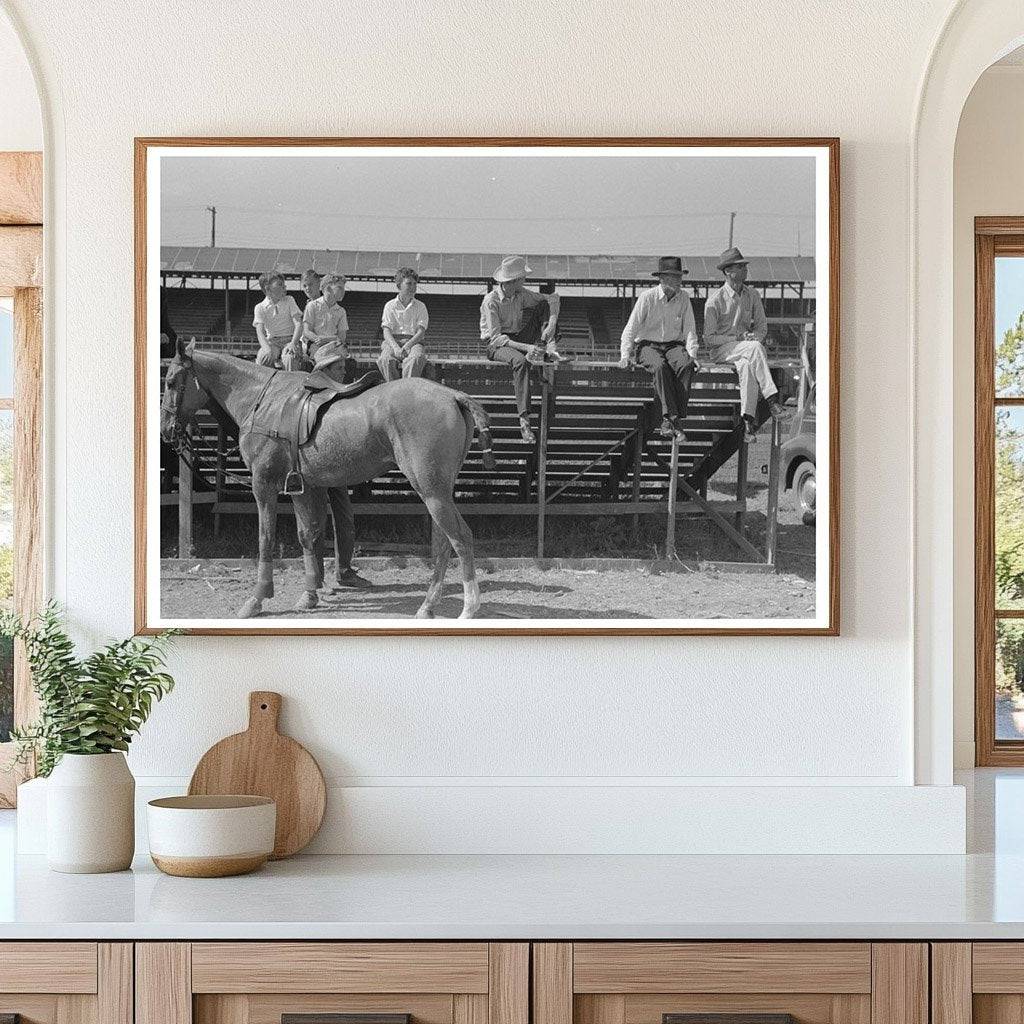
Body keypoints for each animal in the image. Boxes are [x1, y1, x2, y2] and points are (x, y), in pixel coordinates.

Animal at [159, 339, 495, 618]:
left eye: (171, 381)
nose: (165, 429)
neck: (264, 400)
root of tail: (453, 395)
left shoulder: (263, 484)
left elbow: (265, 539)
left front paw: (257, 599)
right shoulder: (301, 486)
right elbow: (308, 535)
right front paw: (309, 594)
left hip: (431, 490)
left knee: (460, 538)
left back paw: (468, 607)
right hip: (439, 491)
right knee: (445, 543)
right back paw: (428, 606)